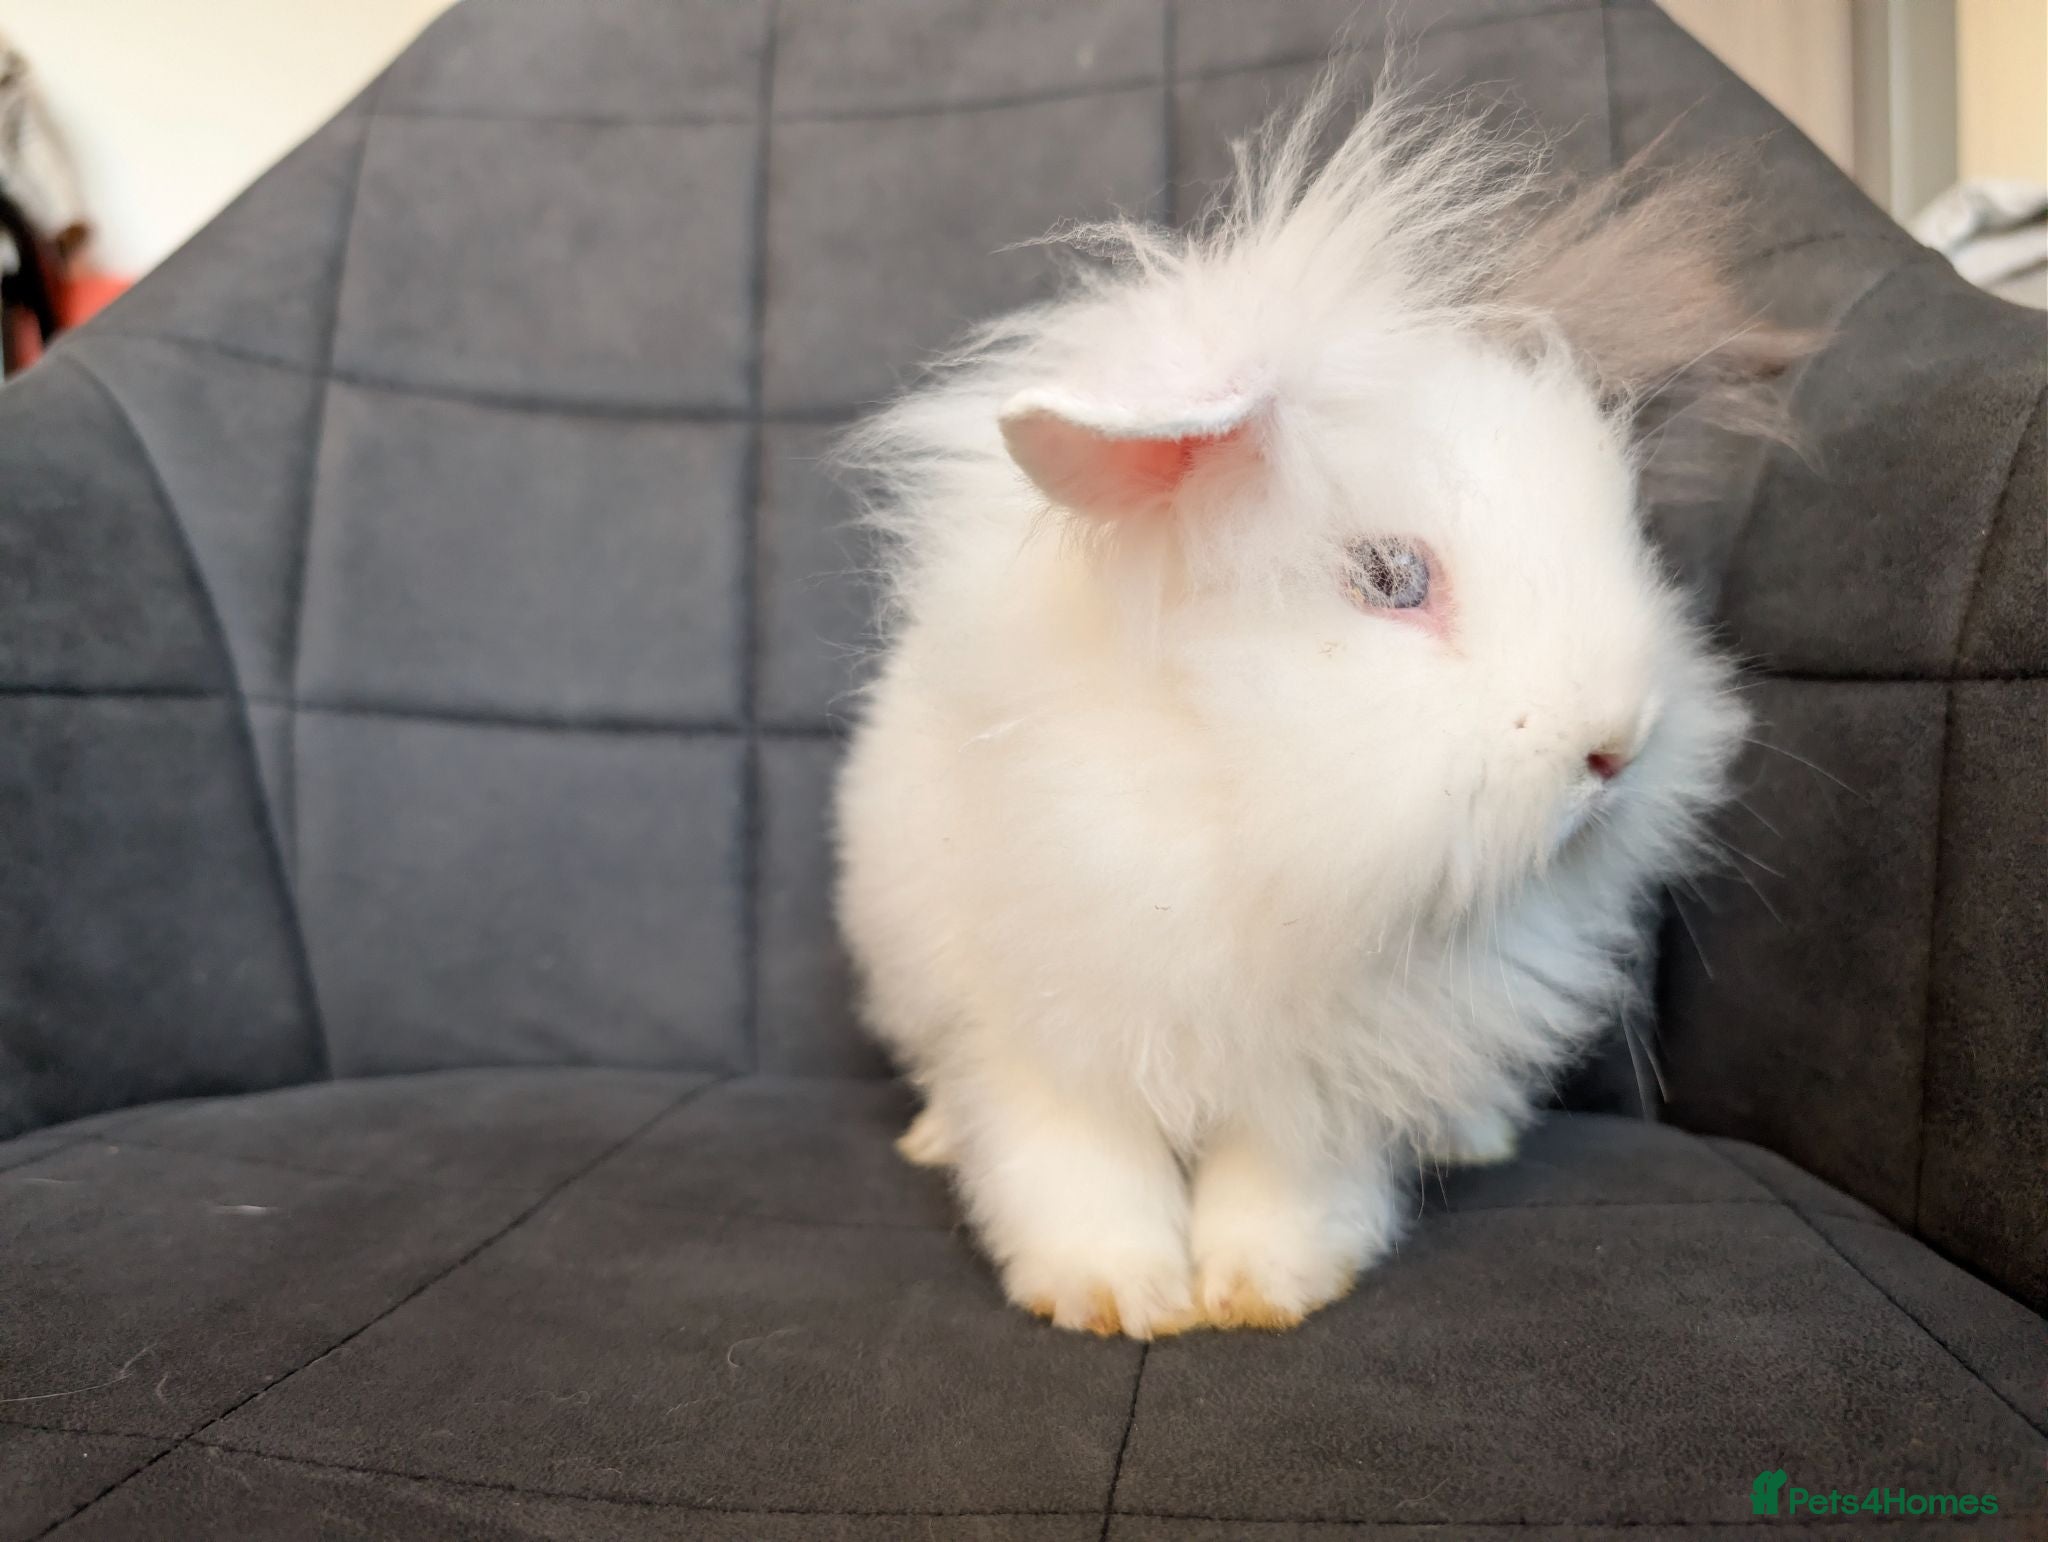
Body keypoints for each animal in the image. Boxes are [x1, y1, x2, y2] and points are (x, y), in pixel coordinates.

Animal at [832, 72, 1810, 1339]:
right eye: (1389, 579)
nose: (1615, 749)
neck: (1233, 810)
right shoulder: (1039, 1033)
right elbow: (1077, 1169)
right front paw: (1115, 1297)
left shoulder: (1326, 1071)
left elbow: (1287, 1179)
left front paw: (1261, 1291)